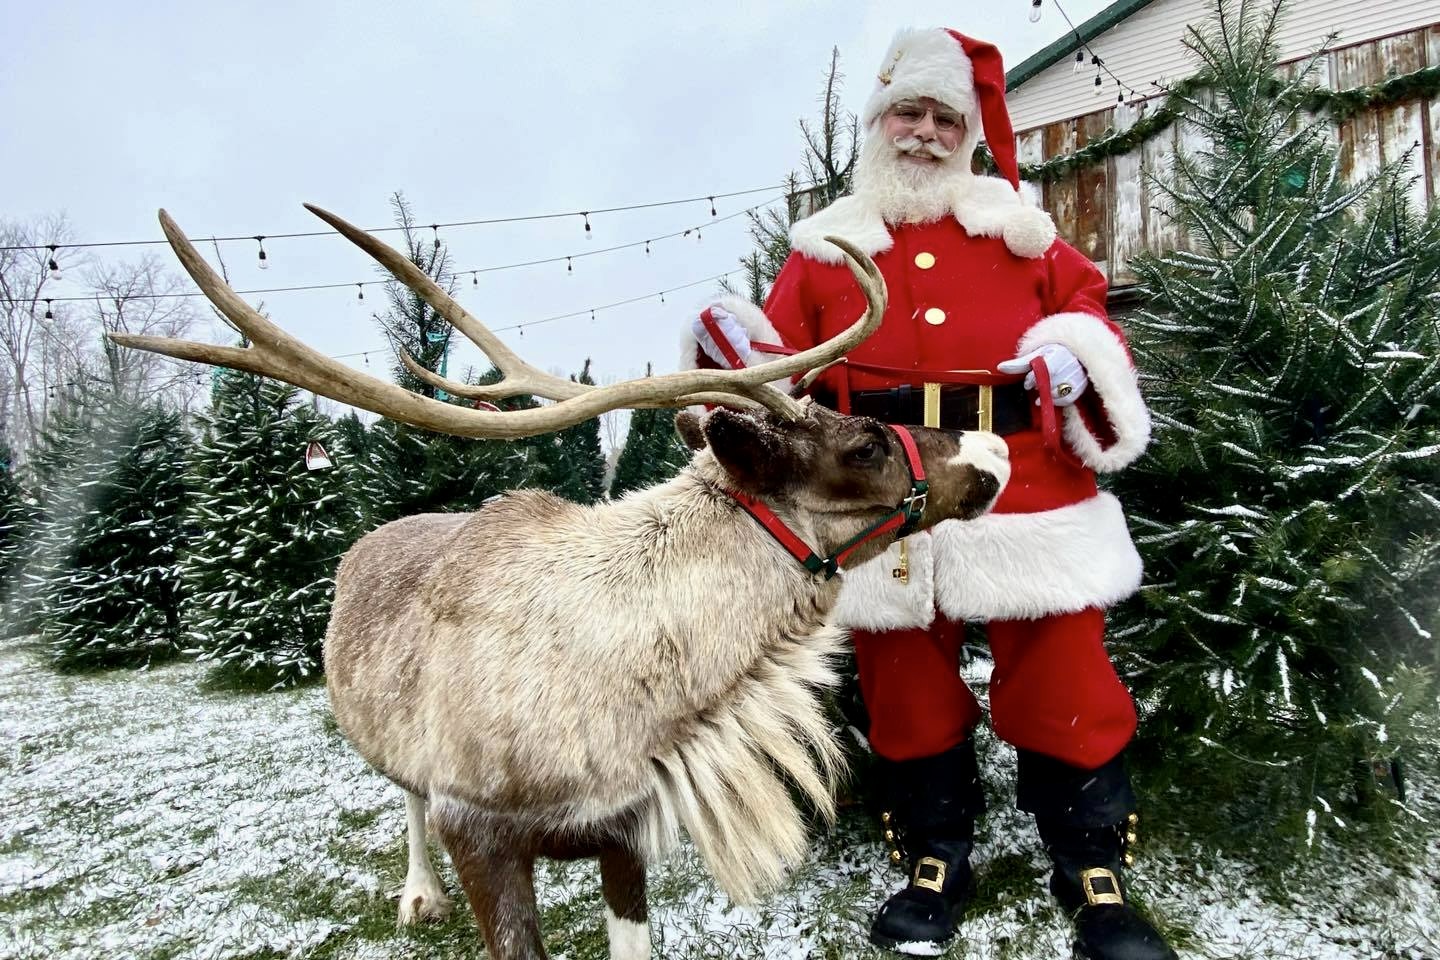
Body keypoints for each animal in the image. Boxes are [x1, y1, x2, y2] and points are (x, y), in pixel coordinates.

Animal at [111, 204, 1012, 960]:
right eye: (866, 444)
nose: (994, 447)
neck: (645, 696)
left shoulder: (623, 829)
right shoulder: (478, 834)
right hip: (386, 745)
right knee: (403, 799)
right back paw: (418, 894)